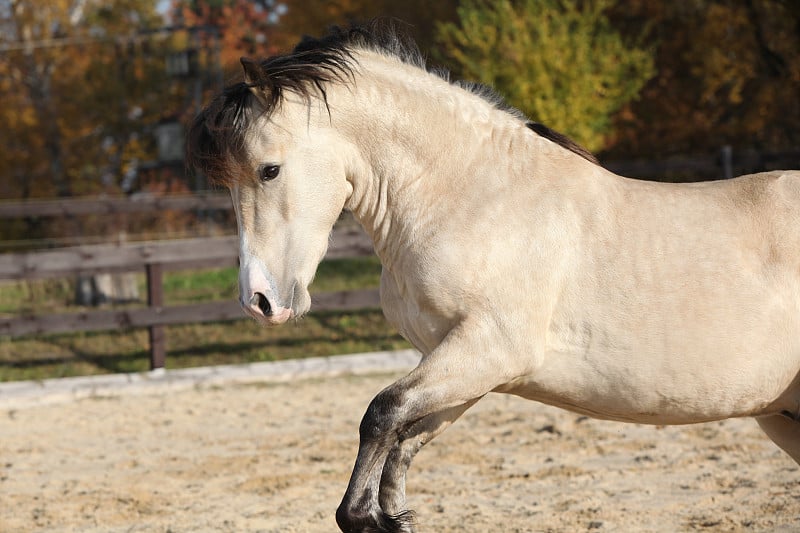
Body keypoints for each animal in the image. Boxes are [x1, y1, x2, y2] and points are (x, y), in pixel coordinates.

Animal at [188, 25, 800, 532]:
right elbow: (403, 439)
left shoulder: (491, 349)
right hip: (782, 416)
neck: (474, 196)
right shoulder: (463, 363)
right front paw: (390, 516)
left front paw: (361, 516)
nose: (260, 301)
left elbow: (381, 415)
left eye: (269, 170)